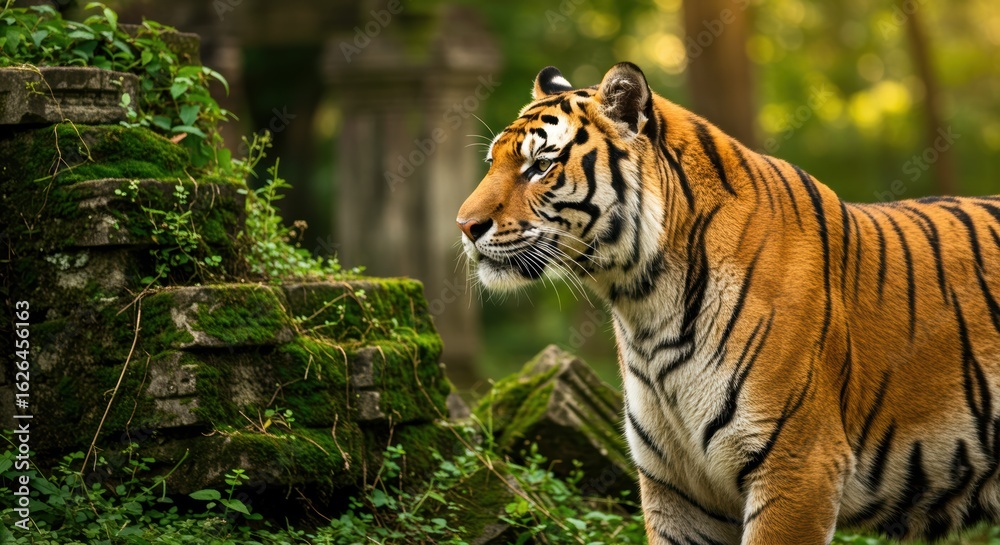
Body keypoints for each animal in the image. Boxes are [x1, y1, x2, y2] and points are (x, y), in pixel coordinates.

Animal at [456, 62, 1000, 544]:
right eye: (491, 163)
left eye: (540, 165)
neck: (643, 304)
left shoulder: (799, 467)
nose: (464, 226)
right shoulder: (677, 486)